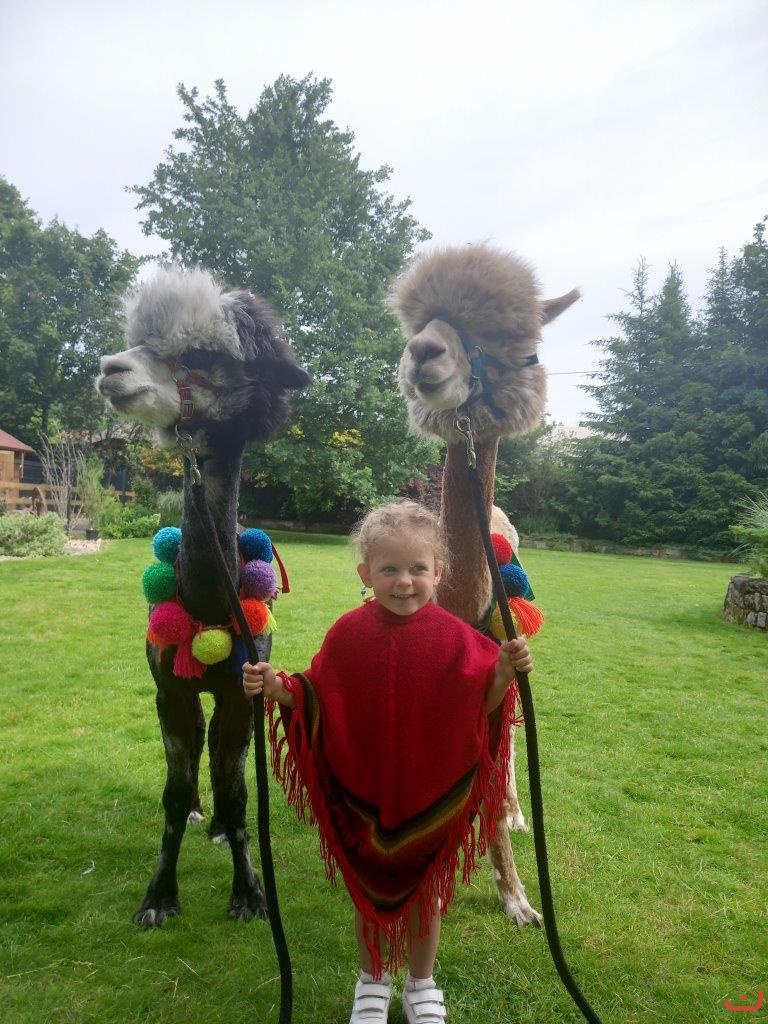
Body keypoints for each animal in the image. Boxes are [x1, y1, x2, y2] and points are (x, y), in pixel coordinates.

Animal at [96, 267, 310, 926]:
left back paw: (213, 821)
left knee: (221, 755)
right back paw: (197, 810)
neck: (212, 606)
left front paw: (249, 892)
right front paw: (159, 896)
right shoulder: (169, 685)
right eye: (137, 342)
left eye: (199, 356)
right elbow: (170, 790)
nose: (111, 368)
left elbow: (240, 793)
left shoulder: (245, 690)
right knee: (194, 751)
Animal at [389, 243, 579, 925]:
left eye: (516, 348)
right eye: (419, 323)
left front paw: (518, 898)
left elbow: (492, 783)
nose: (423, 351)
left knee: (515, 749)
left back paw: (522, 814)